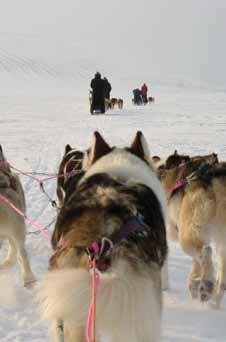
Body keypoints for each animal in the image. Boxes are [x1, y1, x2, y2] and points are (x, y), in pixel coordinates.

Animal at [160, 152, 226, 308]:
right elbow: (196, 265)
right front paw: (194, 283)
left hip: (187, 236)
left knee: (206, 251)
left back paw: (206, 286)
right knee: (221, 280)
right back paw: (214, 302)